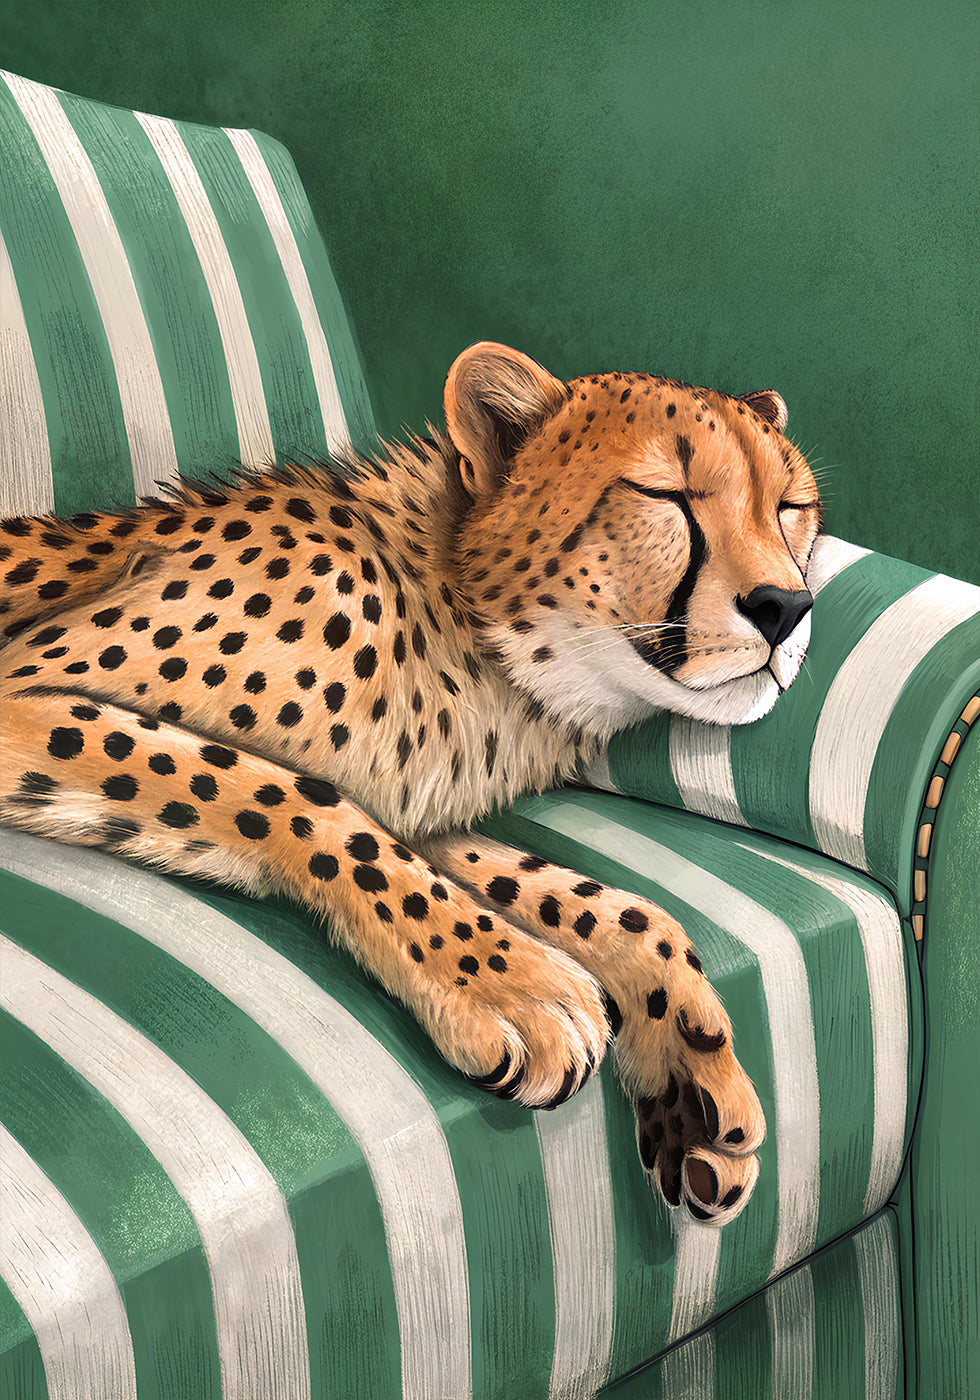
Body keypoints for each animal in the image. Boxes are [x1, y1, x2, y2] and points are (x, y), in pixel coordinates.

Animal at [0, 341, 820, 1225]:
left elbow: (605, 904)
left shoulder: (421, 809)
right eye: (665, 495)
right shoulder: (23, 690)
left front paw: (690, 1067)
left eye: (791, 508)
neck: (461, 620)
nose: (786, 606)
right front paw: (512, 988)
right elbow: (294, 798)